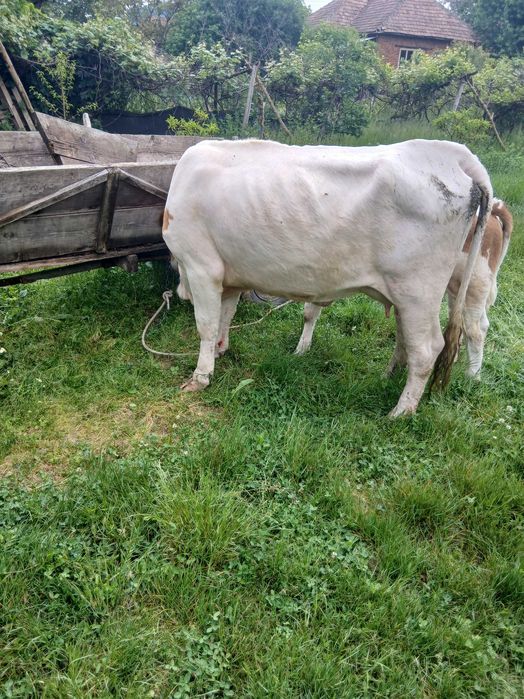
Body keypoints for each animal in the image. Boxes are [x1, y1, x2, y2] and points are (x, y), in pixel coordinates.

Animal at [295, 200, 512, 382]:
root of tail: (493, 209)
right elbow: (310, 313)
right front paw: (302, 349)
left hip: (474, 284)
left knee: (475, 330)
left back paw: (471, 376)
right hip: (457, 289)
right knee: (467, 323)